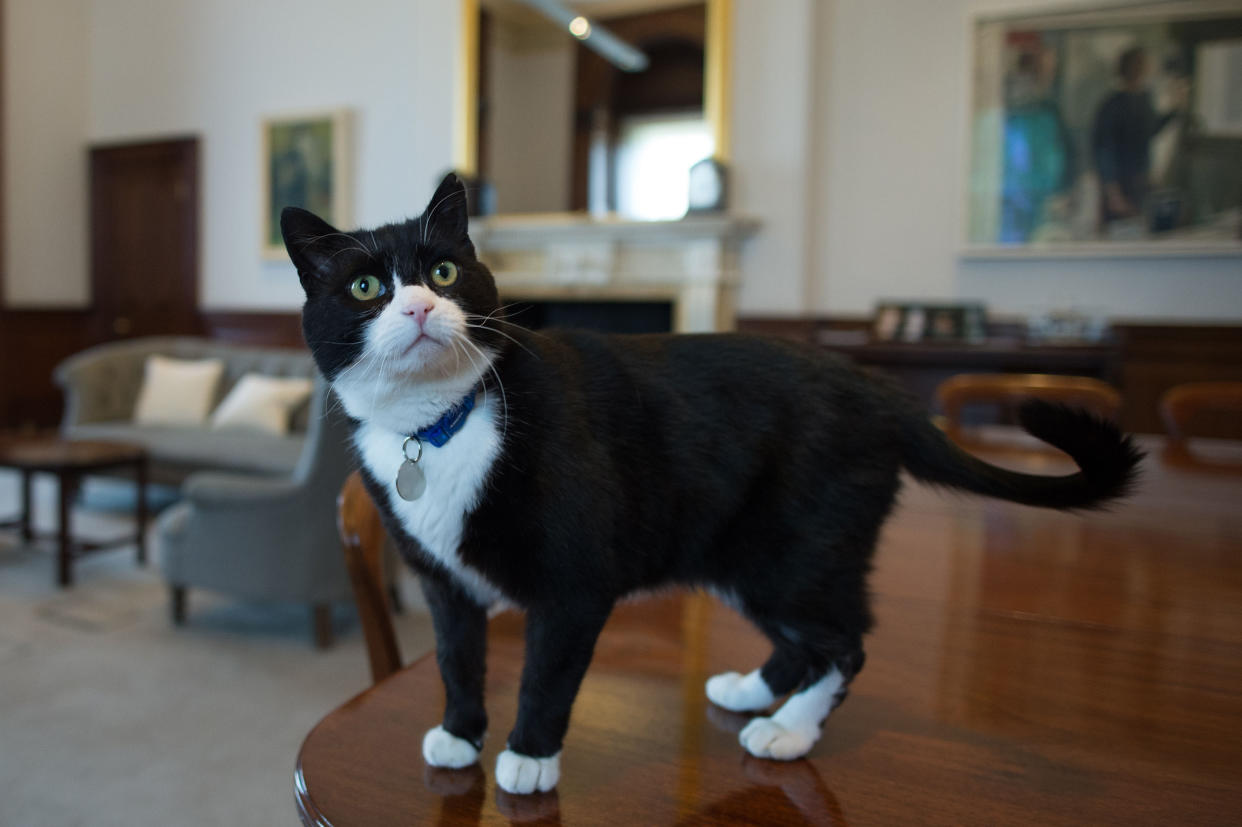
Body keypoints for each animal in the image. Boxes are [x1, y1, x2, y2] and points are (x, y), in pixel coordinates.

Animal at [284, 173, 1142, 794]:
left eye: (443, 269)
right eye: (365, 289)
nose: (420, 307)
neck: (442, 425)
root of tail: (877, 389)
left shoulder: (575, 587)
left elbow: (546, 674)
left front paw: (528, 756)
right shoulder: (445, 582)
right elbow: (457, 656)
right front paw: (462, 733)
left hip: (796, 550)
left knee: (847, 640)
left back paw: (790, 729)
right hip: (747, 552)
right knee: (805, 640)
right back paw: (753, 691)